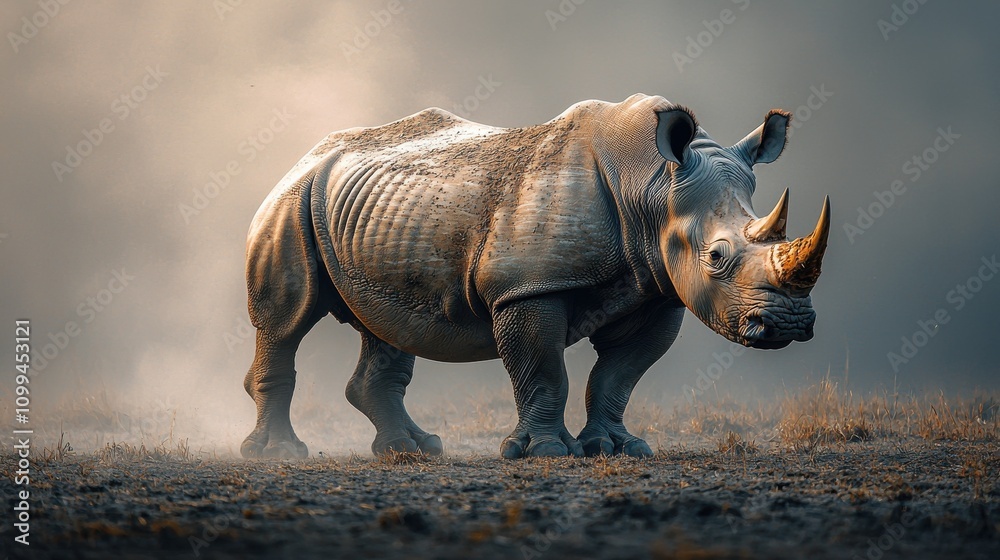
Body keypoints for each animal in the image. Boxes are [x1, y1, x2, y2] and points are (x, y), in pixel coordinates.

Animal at [240, 94, 830, 459]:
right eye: (716, 257)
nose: (788, 326)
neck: (653, 185)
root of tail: (305, 156)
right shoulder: (526, 289)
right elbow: (544, 369)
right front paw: (543, 452)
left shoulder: (657, 289)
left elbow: (618, 376)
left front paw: (618, 449)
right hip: (289, 203)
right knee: (287, 322)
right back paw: (278, 454)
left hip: (374, 217)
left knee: (383, 326)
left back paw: (414, 449)